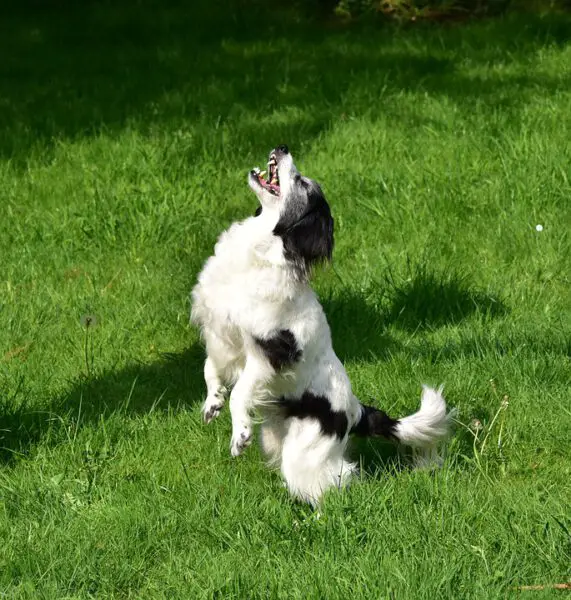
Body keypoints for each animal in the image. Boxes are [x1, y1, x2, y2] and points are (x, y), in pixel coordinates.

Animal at [192, 146, 456, 506]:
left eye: (302, 183)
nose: (283, 147)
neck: (262, 254)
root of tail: (357, 411)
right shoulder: (221, 337)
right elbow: (210, 370)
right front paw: (212, 402)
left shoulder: (270, 354)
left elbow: (241, 393)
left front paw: (239, 432)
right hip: (276, 439)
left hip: (304, 453)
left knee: (338, 480)